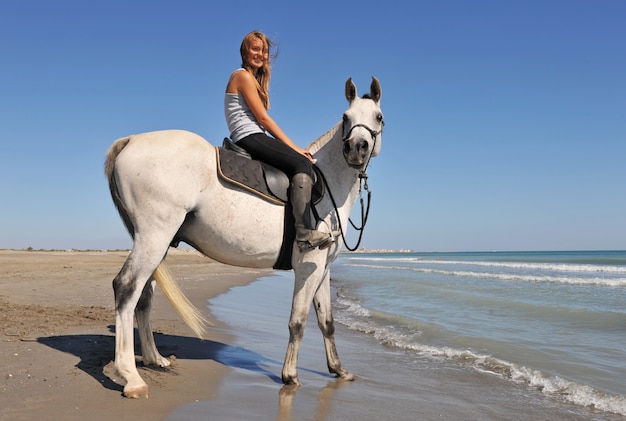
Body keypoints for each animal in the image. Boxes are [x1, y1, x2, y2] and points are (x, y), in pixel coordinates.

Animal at [103, 76, 380, 398]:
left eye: (378, 117)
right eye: (346, 118)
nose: (356, 148)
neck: (327, 182)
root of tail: (131, 139)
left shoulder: (321, 268)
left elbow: (327, 322)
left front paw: (338, 370)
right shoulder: (307, 265)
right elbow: (298, 321)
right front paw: (290, 376)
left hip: (155, 242)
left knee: (143, 294)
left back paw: (153, 359)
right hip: (154, 236)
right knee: (126, 287)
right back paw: (131, 377)